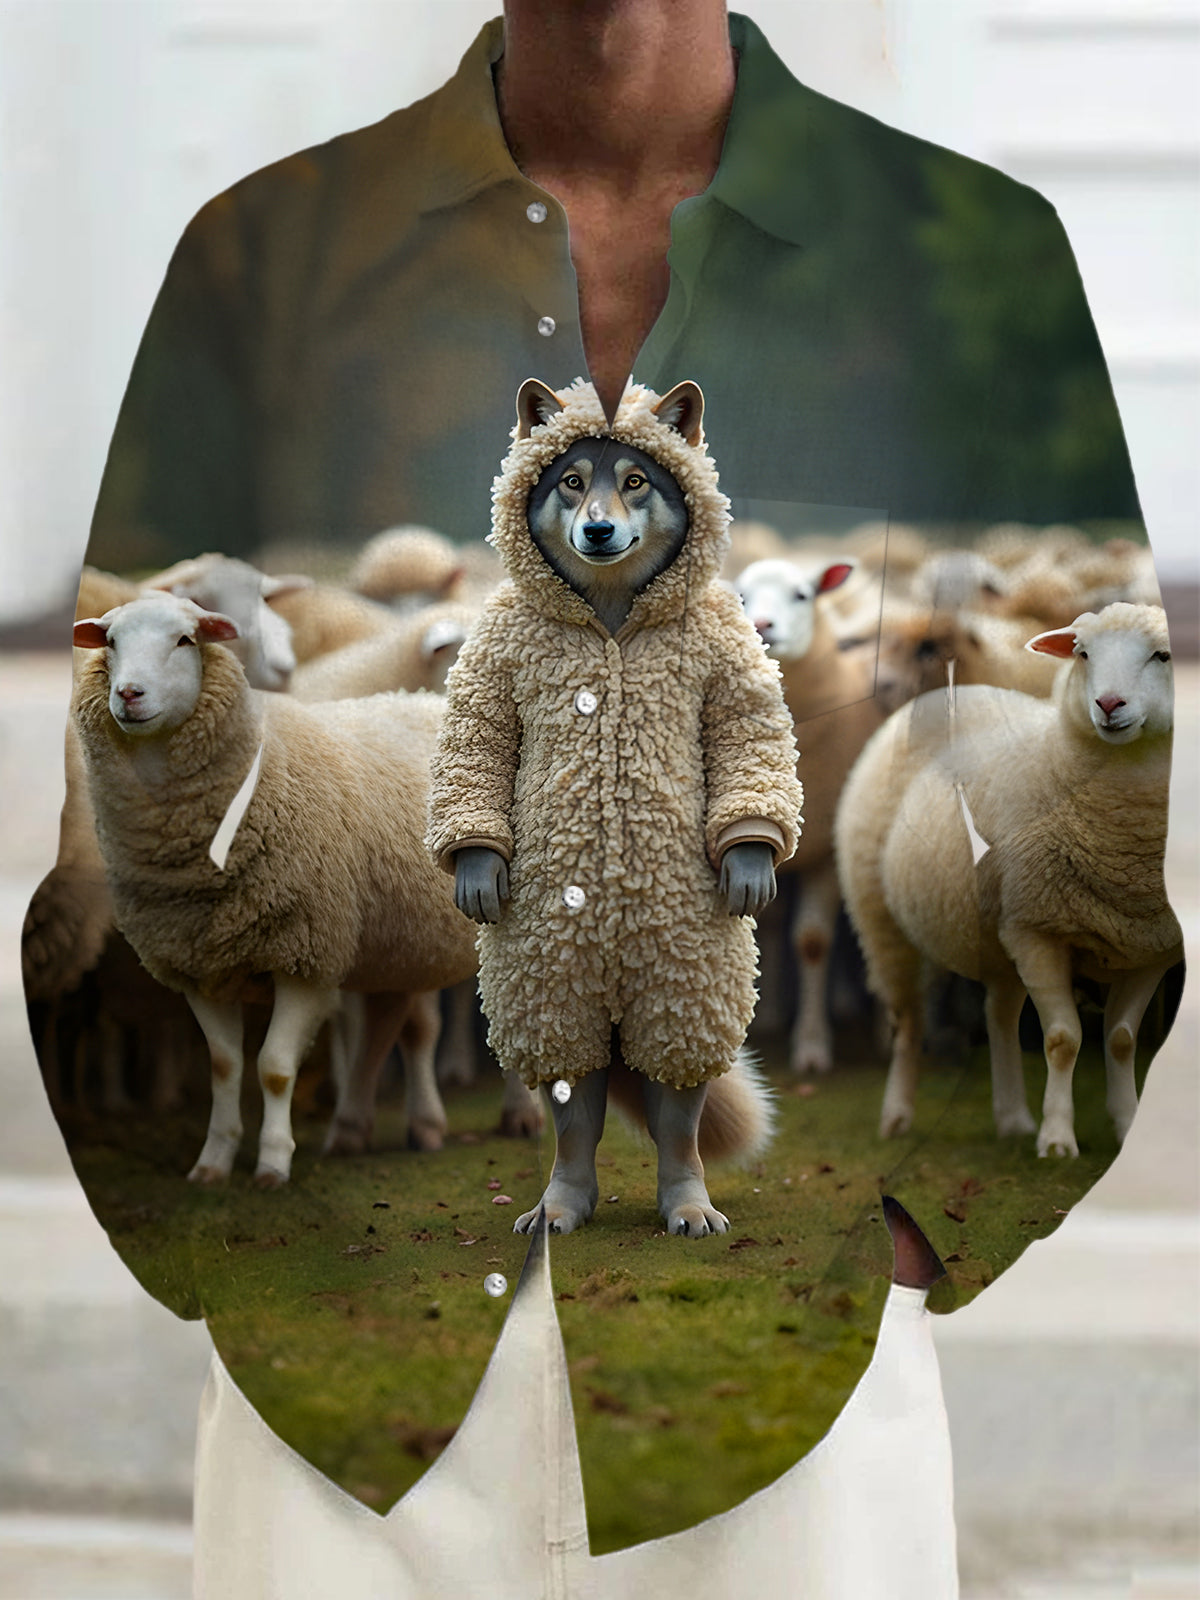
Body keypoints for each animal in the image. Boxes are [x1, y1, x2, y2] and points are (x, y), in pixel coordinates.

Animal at [71, 591, 479, 1185]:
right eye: (112, 642)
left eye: (184, 640)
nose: (129, 694)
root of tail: (421, 700)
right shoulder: (199, 964)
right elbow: (225, 1066)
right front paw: (213, 1163)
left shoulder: (304, 956)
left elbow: (274, 1068)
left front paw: (272, 1163)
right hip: (401, 938)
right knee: (391, 1026)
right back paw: (358, 1128)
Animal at [734, 555, 885, 1074]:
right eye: (741, 595)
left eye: (803, 594)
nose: (762, 625)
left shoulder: (825, 853)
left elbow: (814, 942)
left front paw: (813, 1045)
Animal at [836, 602, 1182, 1156]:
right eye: (1083, 654)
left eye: (1162, 655)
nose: (1108, 704)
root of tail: (949, 691)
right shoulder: (1037, 930)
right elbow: (1063, 1040)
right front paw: (1058, 1139)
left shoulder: (1149, 948)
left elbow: (1121, 1040)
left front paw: (1127, 1125)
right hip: (884, 920)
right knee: (908, 1023)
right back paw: (897, 1117)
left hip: (997, 935)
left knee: (998, 1014)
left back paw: (1012, 1117)